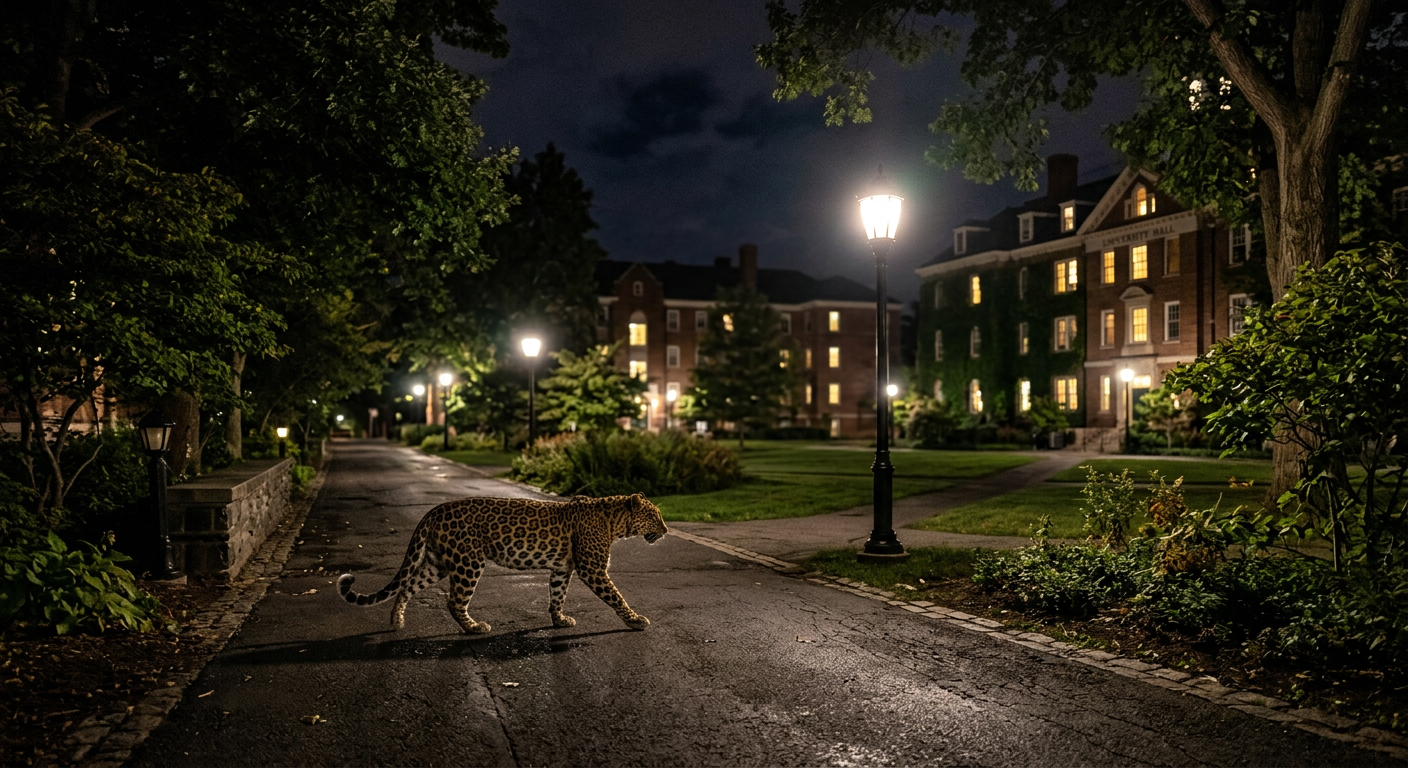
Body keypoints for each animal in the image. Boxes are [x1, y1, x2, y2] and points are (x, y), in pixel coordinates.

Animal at [337, 493, 668, 634]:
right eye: (654, 515)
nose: (665, 530)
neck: (614, 523)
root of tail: (433, 510)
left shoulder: (562, 568)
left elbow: (557, 595)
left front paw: (559, 620)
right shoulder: (592, 569)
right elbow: (616, 596)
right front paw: (635, 620)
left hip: (437, 562)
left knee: (407, 585)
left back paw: (397, 621)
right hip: (468, 561)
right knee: (454, 601)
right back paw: (474, 627)